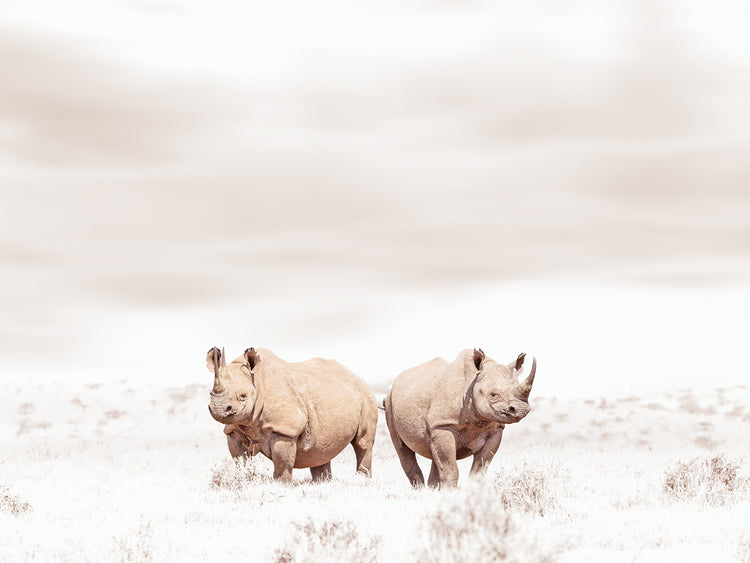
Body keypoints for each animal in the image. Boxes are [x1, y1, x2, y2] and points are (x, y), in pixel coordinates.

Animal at [206, 346, 378, 482]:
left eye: (243, 396)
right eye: (211, 393)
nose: (219, 409)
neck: (258, 383)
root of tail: (357, 377)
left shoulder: (284, 430)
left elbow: (282, 464)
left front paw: (280, 486)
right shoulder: (233, 429)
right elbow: (240, 461)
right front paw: (243, 481)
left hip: (366, 395)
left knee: (363, 443)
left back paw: (362, 480)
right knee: (322, 447)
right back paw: (322, 482)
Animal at [384, 348, 536, 488]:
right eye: (493, 394)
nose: (522, 409)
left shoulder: (495, 429)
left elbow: (478, 470)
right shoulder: (444, 425)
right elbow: (450, 469)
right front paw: (449, 494)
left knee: (434, 453)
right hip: (389, 402)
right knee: (402, 448)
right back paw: (420, 492)